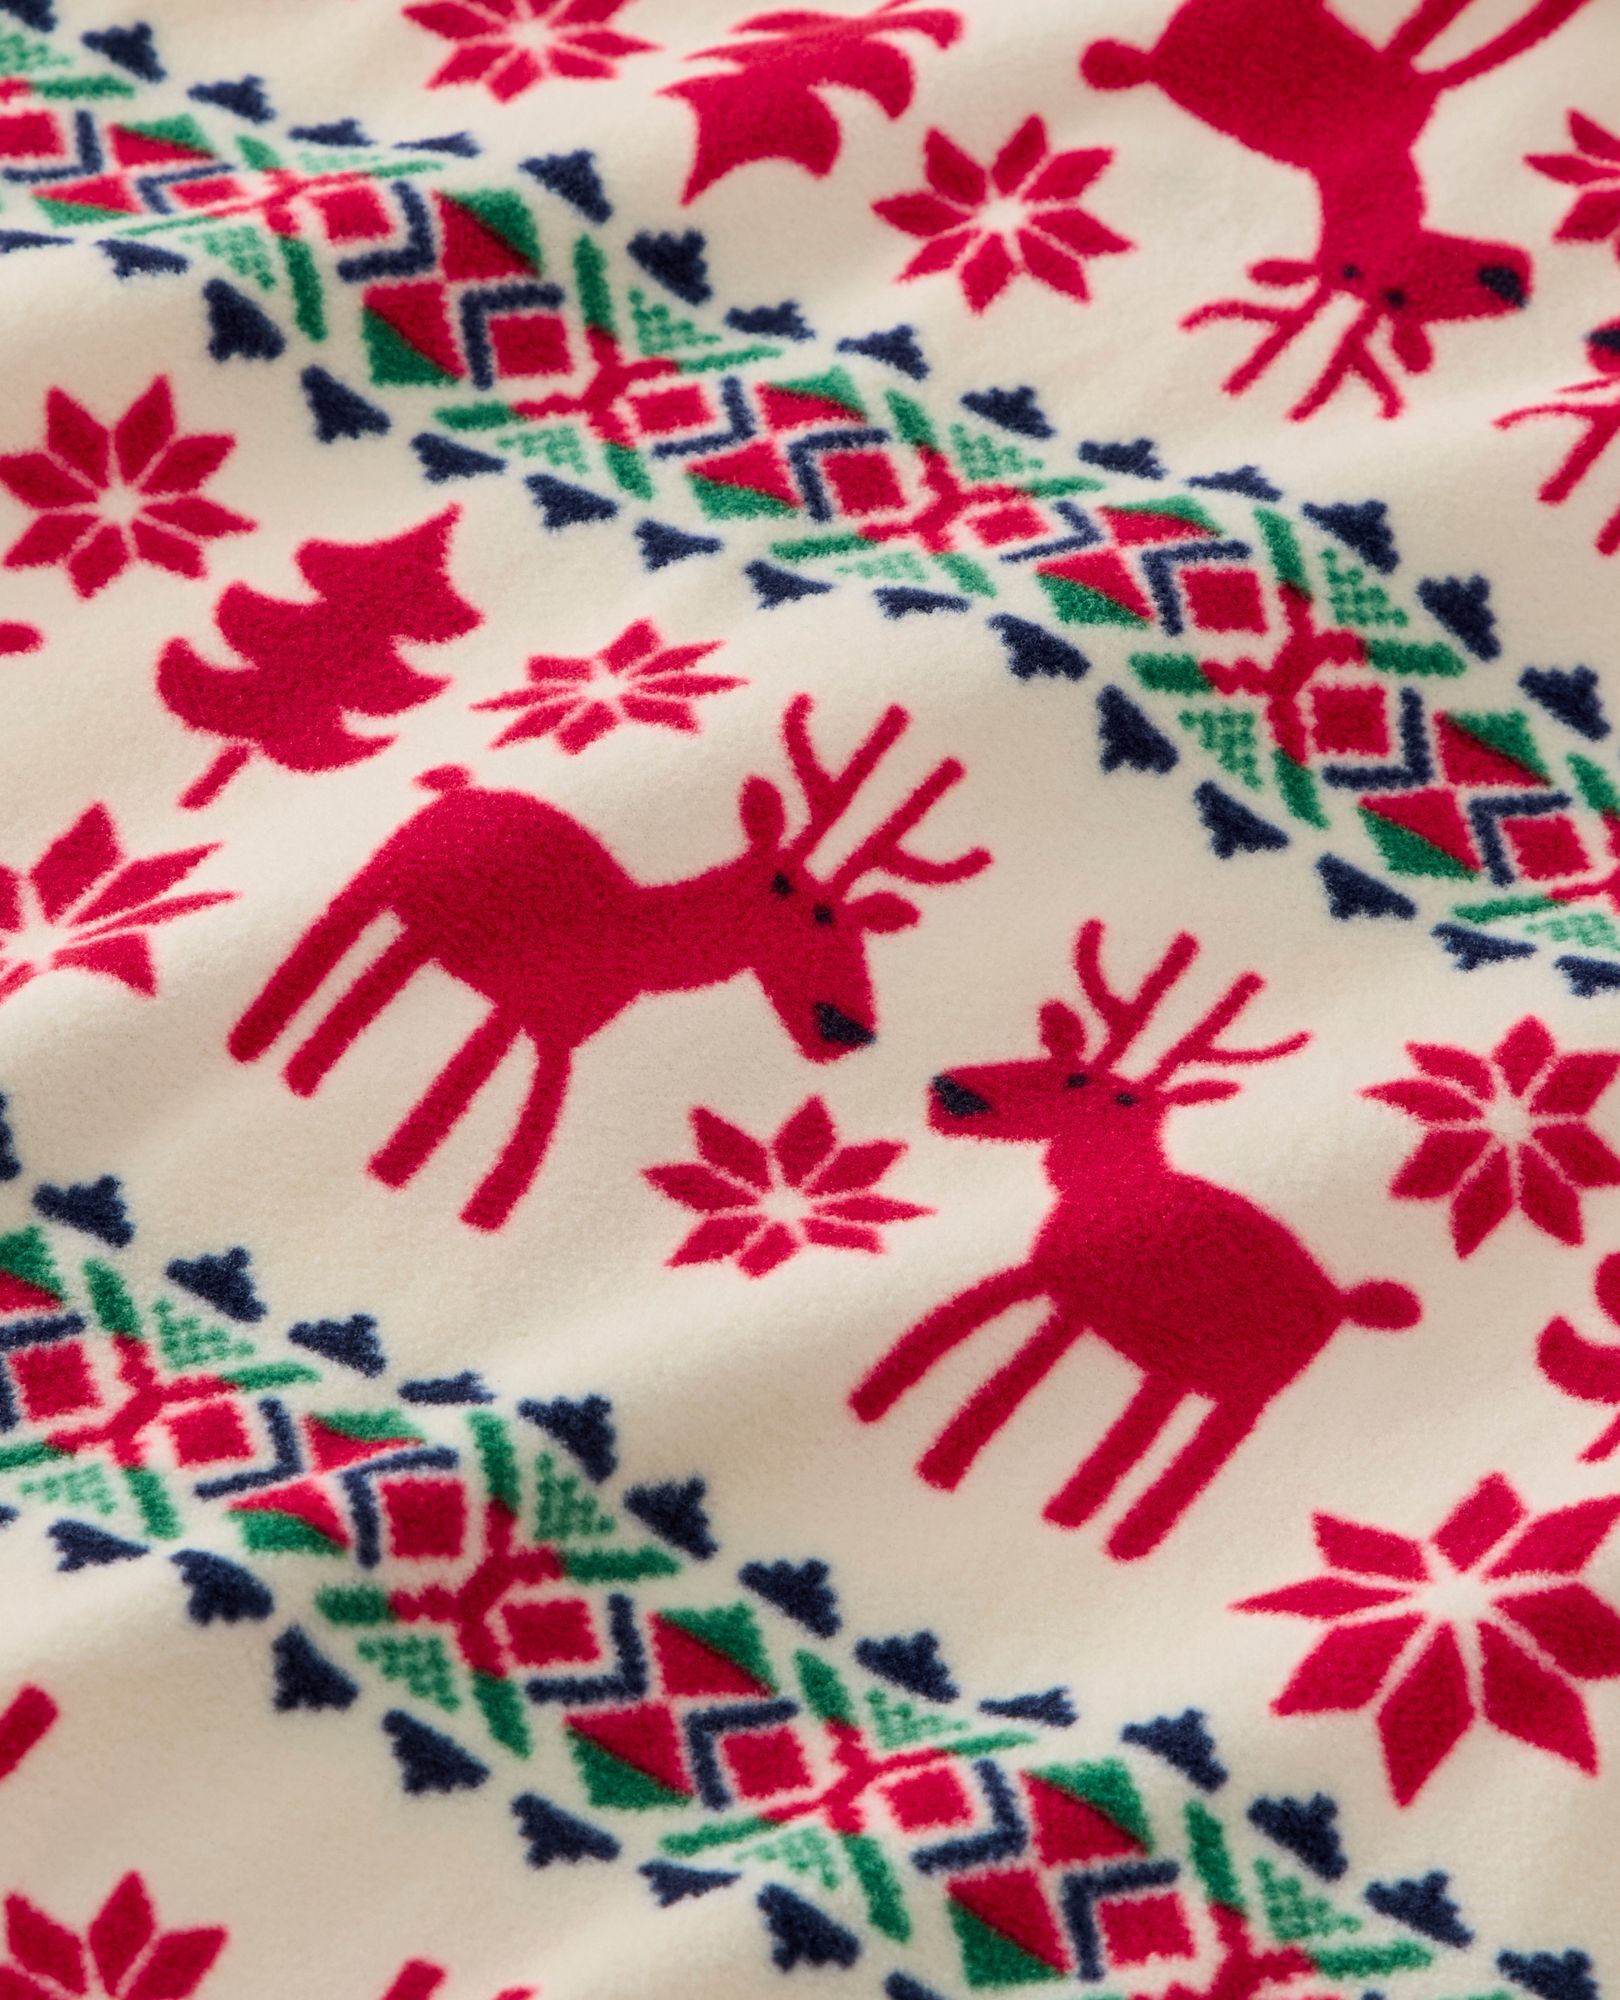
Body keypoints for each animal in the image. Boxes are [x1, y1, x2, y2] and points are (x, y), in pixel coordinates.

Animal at [228, 696, 989, 1232]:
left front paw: (439, 1187)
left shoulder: (543, 1022)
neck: (634, 944)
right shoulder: (537, 1012)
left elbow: (504, 1102)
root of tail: (467, 786)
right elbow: (494, 1103)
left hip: (424, 933)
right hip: (376, 885)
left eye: (853, 924)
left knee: (380, 977)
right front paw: (427, 1181)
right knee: (332, 944)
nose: (848, 1030)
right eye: (786, 892)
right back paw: (262, 1042)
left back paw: (305, 1071)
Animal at [850, 921, 1421, 1559]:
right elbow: (1001, 1340)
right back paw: (1078, 1513)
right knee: (1150, 1419)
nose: (954, 1092)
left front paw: (929, 1445)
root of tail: (1343, 1301)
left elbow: (989, 1326)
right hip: (1178, 1357)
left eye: (1086, 1083)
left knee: (1205, 1449)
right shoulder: (1069, 1293)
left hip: (1245, 1388)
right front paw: (912, 1428)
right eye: (1065, 1060)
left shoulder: (1070, 1283)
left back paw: (1127, 1533)